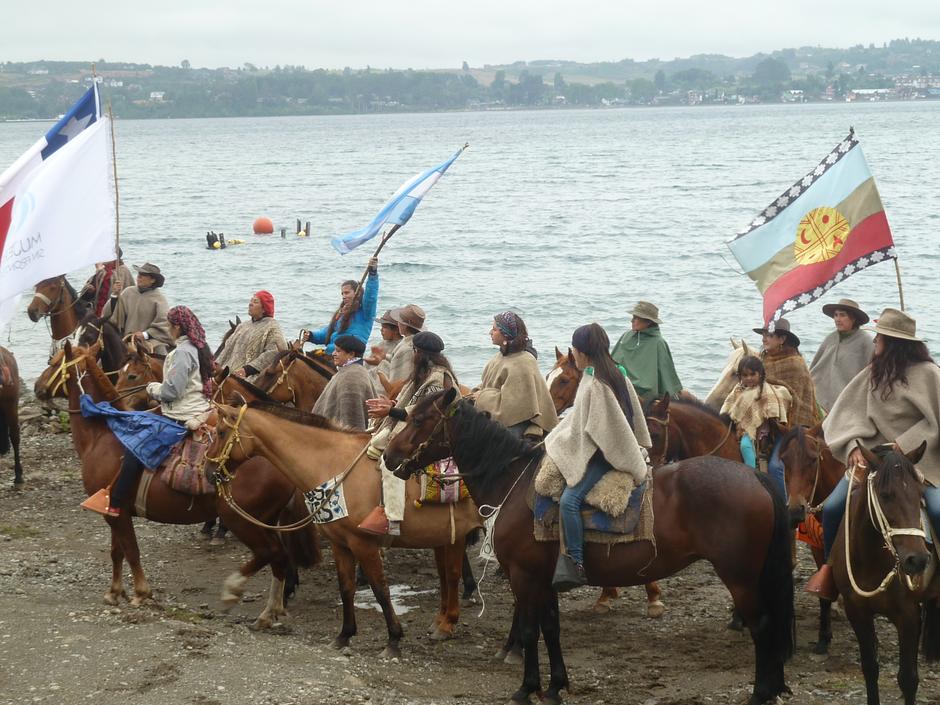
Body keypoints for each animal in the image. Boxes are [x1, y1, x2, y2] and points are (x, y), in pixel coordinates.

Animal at [61, 344, 324, 624]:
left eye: (132, 376)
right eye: (119, 373)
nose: (41, 389)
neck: (103, 434)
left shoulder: (118, 512)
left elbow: (130, 549)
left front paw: (140, 593)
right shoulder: (115, 511)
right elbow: (117, 550)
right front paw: (114, 592)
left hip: (241, 519)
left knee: (272, 553)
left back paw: (239, 593)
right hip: (266, 519)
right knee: (280, 556)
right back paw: (273, 605)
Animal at [207, 398, 484, 656]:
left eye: (220, 432)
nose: (208, 471)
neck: (332, 466)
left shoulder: (364, 544)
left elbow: (381, 590)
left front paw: (393, 639)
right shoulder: (340, 544)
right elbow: (346, 588)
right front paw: (344, 635)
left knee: (452, 575)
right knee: (448, 575)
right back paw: (443, 623)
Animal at [382, 390, 792, 704]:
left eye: (419, 420)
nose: (389, 456)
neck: (515, 482)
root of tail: (754, 477)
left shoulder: (524, 576)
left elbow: (529, 630)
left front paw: (526, 688)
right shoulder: (544, 579)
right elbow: (551, 627)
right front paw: (554, 686)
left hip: (739, 576)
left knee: (762, 625)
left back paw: (761, 693)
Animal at [780, 420, 844, 652]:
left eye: (814, 459)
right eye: (784, 459)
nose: (795, 510)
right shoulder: (818, 546)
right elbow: (823, 593)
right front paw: (823, 638)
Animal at [828, 442, 940, 704]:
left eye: (920, 494)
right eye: (885, 494)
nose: (918, 560)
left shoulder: (909, 616)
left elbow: (908, 679)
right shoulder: (857, 611)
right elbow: (870, 668)